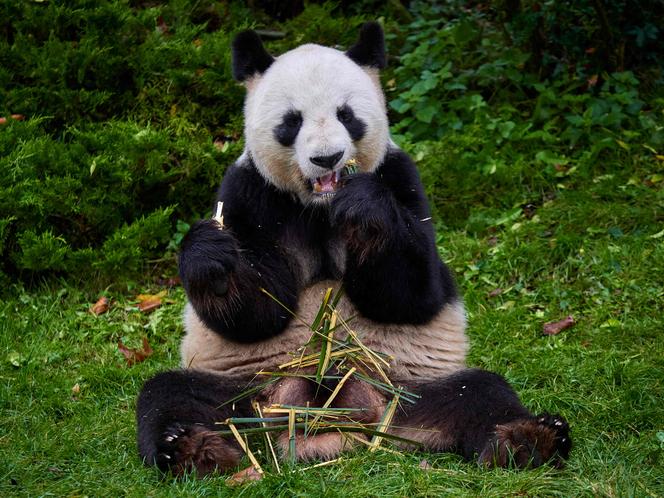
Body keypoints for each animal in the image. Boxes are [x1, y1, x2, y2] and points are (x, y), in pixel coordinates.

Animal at [136, 22, 571, 476]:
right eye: (292, 121)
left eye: (347, 115)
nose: (327, 158)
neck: (321, 207)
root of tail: (337, 421)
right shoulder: (251, 194)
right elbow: (256, 313)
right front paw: (214, 260)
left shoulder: (400, 177)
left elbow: (411, 294)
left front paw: (365, 210)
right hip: (250, 392)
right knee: (173, 395)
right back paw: (191, 447)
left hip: (408, 392)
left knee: (480, 393)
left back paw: (526, 438)